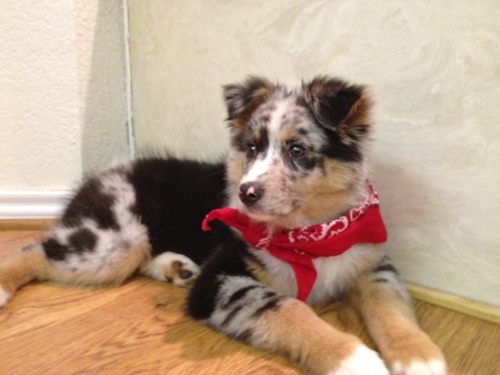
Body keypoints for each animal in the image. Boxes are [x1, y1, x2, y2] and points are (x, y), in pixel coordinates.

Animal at [0, 77, 446, 375]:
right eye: (251, 148)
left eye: (297, 150)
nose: (246, 193)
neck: (310, 235)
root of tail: (101, 174)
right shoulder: (221, 278)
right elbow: (287, 308)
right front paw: (353, 358)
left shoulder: (371, 265)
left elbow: (391, 308)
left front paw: (421, 357)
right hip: (110, 242)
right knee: (35, 249)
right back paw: (3, 285)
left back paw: (175, 267)